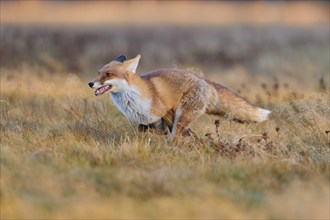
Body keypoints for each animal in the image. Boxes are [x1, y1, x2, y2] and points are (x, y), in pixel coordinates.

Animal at [88, 55, 270, 144]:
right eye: (98, 72)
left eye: (108, 74)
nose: (90, 83)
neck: (131, 99)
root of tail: (203, 79)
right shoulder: (149, 118)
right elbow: (147, 128)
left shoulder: (167, 111)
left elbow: (169, 131)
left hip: (183, 113)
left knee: (176, 134)